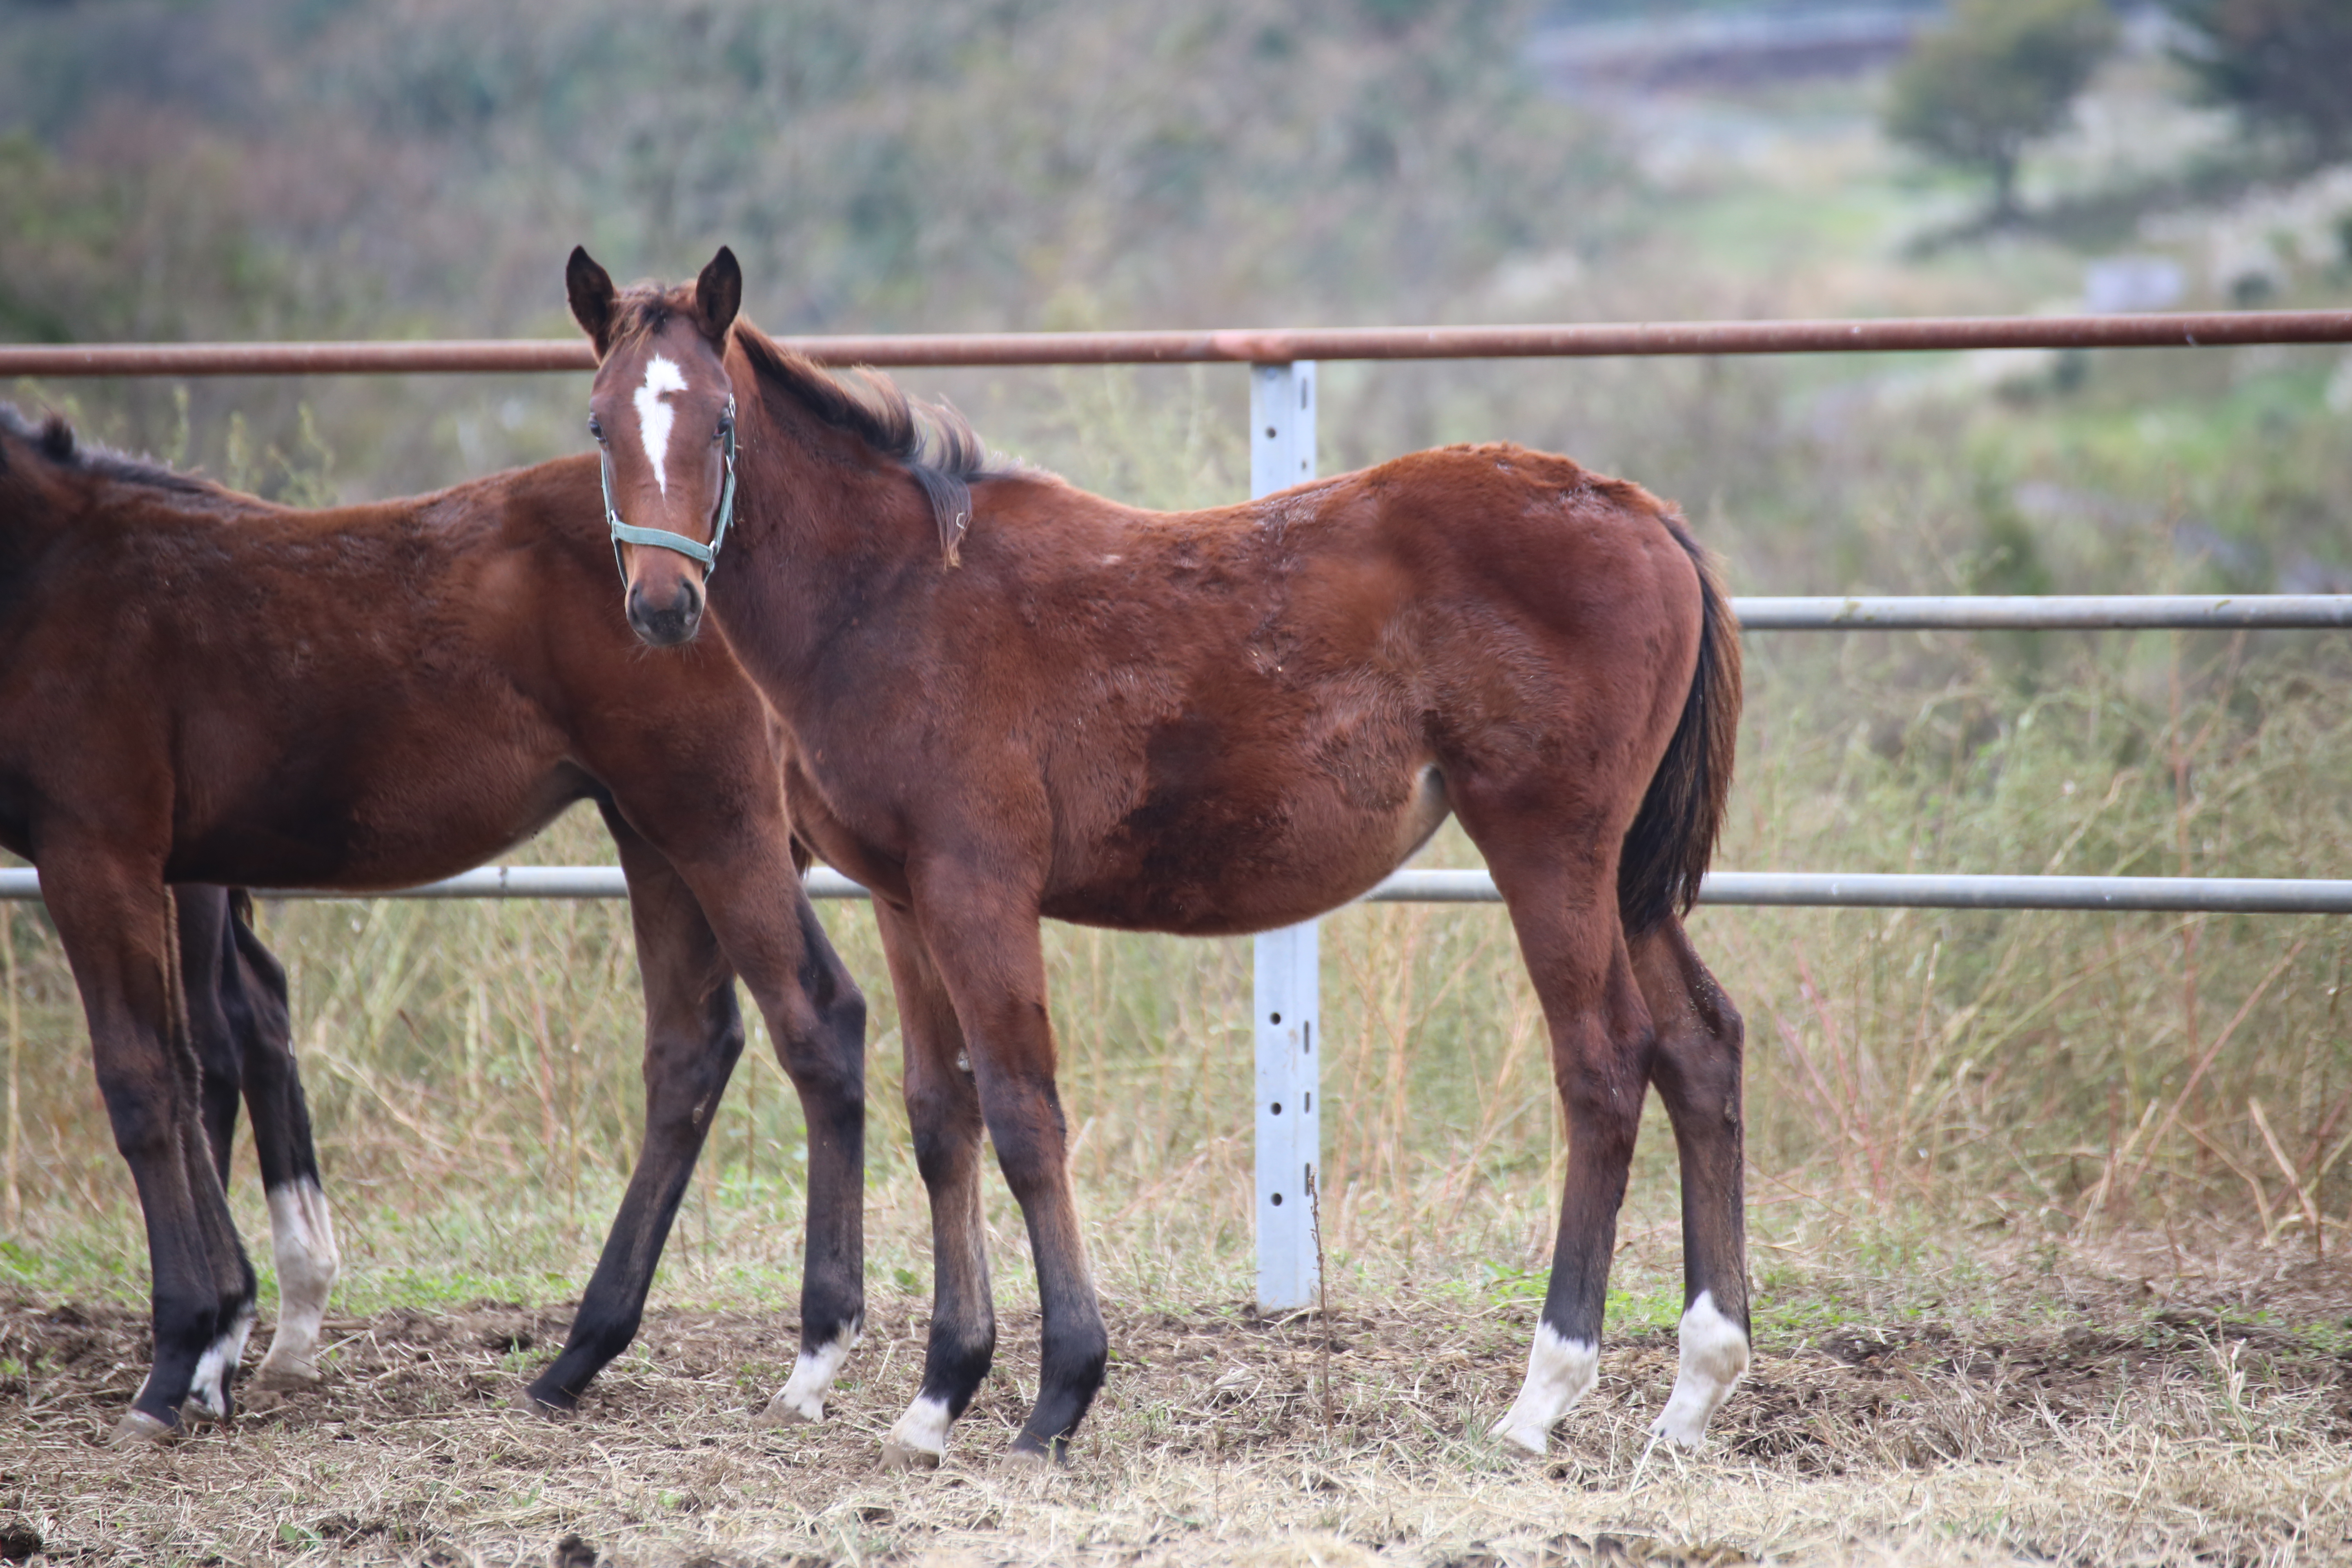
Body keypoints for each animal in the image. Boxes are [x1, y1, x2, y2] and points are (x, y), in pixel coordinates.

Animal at [0, 399, 870, 1439]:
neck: (52, 569)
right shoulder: (164, 867)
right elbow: (185, 1064)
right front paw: (213, 1338)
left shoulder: (98, 850)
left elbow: (142, 1081)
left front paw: (179, 1359)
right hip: (651, 828)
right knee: (691, 1048)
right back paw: (573, 1358)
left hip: (712, 816)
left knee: (815, 1020)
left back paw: (814, 1357)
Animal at [564, 248, 1750, 1476]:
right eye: (599, 421)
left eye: (720, 421)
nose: (662, 605)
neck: (890, 597)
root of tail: (1644, 514)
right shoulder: (903, 898)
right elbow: (941, 1116)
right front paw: (938, 1397)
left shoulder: (978, 889)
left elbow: (1024, 1115)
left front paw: (1058, 1395)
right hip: (1623, 876)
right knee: (1699, 1046)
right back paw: (1694, 1390)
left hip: (1549, 849)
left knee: (1604, 1062)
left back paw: (1543, 1392)